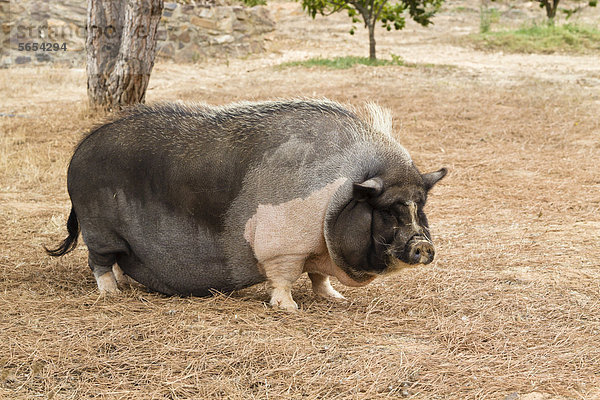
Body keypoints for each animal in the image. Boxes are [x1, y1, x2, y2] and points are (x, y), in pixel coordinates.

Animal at [48, 98, 446, 310]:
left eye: (420, 205)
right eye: (388, 209)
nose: (423, 245)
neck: (340, 193)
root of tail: (78, 151)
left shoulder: (317, 248)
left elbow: (318, 275)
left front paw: (336, 300)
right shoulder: (283, 248)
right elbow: (284, 278)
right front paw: (291, 308)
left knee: (115, 262)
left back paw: (123, 285)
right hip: (99, 229)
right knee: (99, 262)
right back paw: (112, 293)